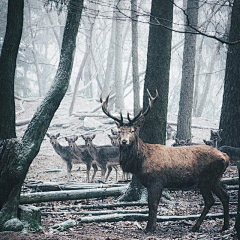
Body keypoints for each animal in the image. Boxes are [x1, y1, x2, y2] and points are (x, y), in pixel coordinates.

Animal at [100, 89, 230, 232]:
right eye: (119, 131)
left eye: (132, 130)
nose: (124, 141)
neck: (140, 163)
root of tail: (225, 157)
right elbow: (149, 204)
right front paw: (150, 226)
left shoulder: (157, 180)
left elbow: (153, 204)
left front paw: (150, 228)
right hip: (215, 179)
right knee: (224, 196)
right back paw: (224, 226)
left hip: (206, 179)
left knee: (210, 200)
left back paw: (197, 226)